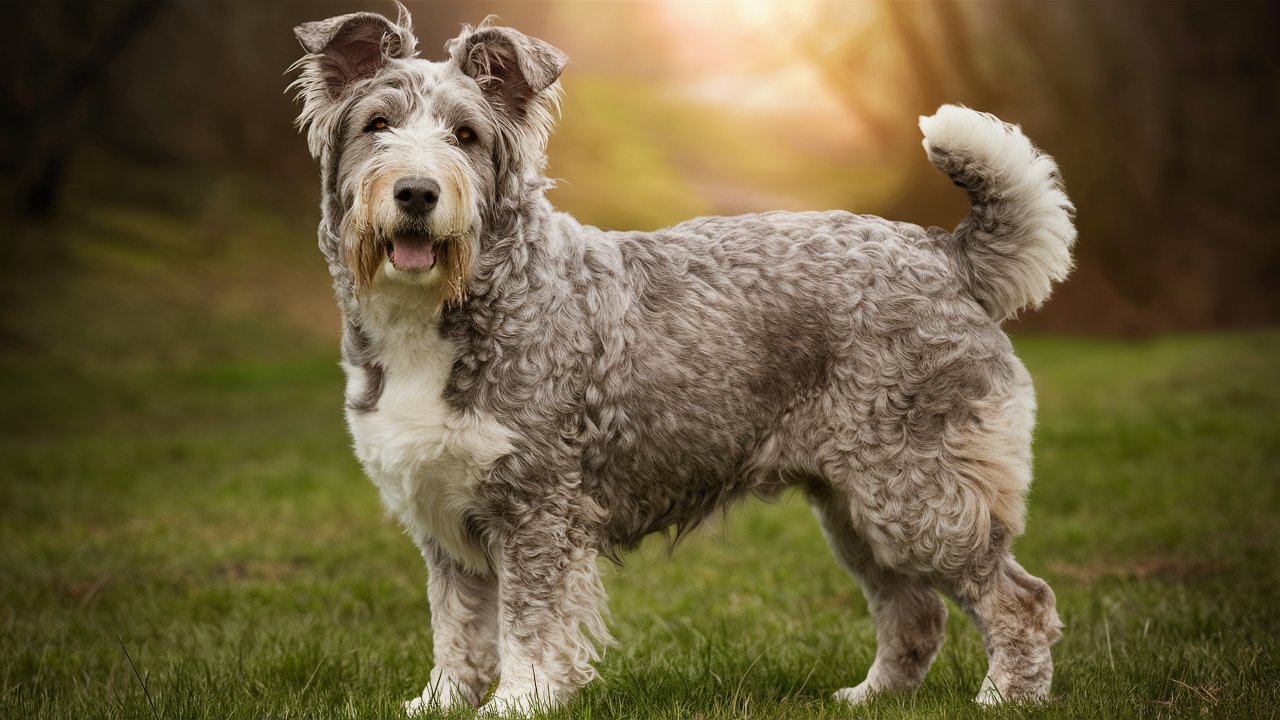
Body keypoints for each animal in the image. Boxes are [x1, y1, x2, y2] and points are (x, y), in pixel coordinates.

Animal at [288, 5, 1070, 712]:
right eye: (376, 125)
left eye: (466, 135)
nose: (416, 192)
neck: (461, 304)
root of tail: (944, 254)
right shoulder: (445, 522)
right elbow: (458, 633)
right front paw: (442, 701)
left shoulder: (537, 513)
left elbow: (528, 629)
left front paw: (518, 701)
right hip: (854, 509)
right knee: (915, 613)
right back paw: (870, 696)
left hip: (918, 497)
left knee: (1018, 600)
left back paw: (1006, 697)